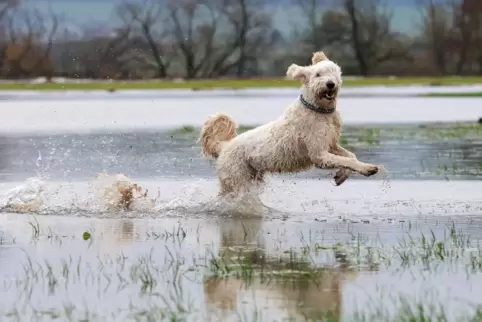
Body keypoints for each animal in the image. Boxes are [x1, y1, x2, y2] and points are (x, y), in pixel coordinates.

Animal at [200, 50, 380, 197]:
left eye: (334, 72)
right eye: (318, 74)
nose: (330, 84)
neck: (318, 109)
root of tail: (224, 146)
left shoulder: (331, 145)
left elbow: (350, 156)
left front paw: (342, 175)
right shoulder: (319, 154)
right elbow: (346, 160)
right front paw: (367, 168)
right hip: (237, 178)